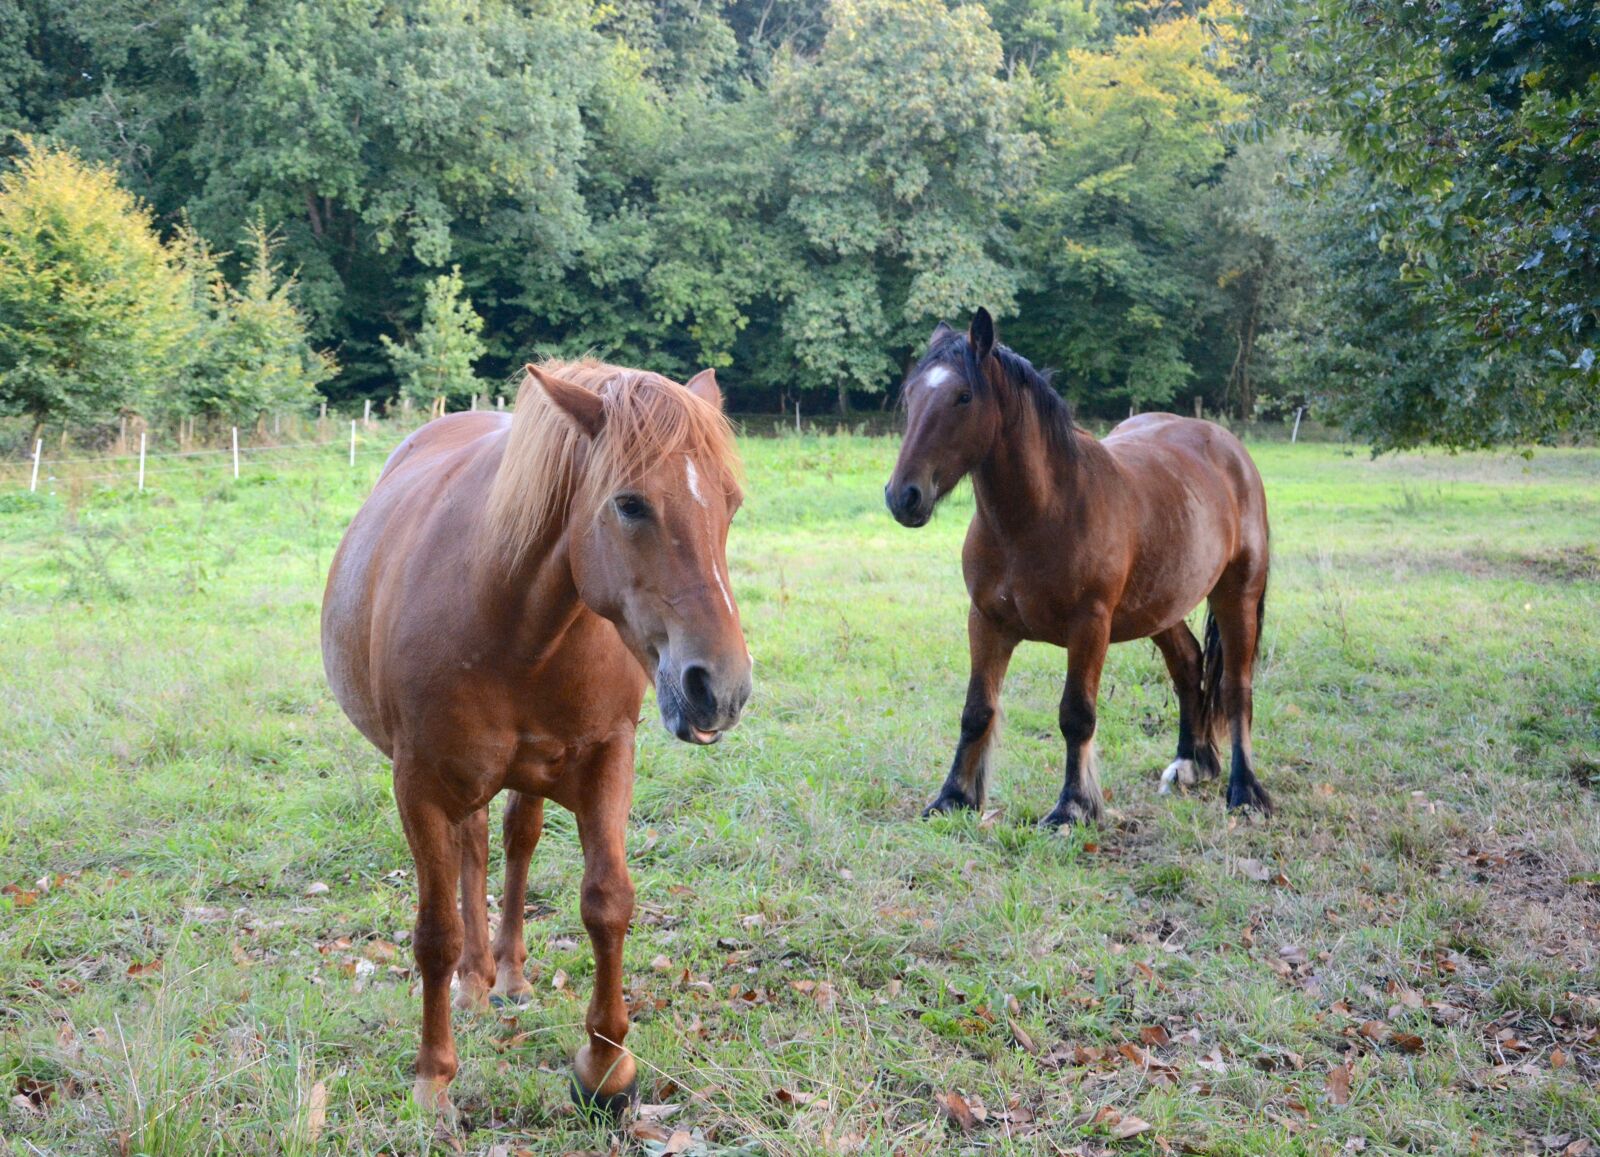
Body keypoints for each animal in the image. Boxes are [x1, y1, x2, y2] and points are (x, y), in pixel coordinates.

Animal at [321, 360, 752, 1119]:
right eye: (630, 504)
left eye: (729, 503)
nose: (720, 688)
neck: (511, 618)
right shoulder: (419, 784)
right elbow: (435, 931)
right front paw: (434, 1076)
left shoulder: (609, 757)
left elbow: (607, 901)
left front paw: (605, 1067)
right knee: (472, 854)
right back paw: (474, 981)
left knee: (512, 844)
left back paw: (510, 975)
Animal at [884, 309, 1271, 828]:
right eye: (911, 395)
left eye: (963, 396)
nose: (903, 496)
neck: (1037, 516)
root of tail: (1228, 447)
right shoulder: (985, 621)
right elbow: (976, 710)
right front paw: (953, 798)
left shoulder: (1090, 627)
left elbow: (1076, 715)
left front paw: (1073, 808)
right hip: (1161, 605)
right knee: (1188, 664)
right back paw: (1191, 764)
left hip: (1238, 594)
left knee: (1235, 688)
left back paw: (1245, 791)